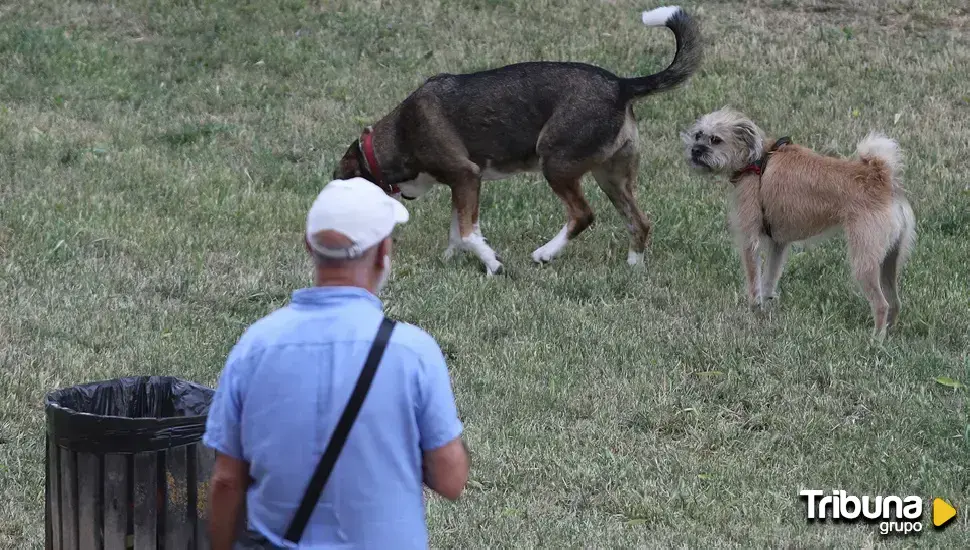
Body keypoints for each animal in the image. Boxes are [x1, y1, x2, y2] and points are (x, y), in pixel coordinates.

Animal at [336, 6, 700, 276]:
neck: (399, 133)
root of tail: (621, 85)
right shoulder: (463, 184)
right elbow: (459, 230)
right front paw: (453, 259)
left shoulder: (466, 175)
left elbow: (467, 232)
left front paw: (492, 263)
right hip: (612, 176)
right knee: (640, 222)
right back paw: (633, 268)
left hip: (556, 163)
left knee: (583, 215)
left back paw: (545, 254)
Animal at [680, 107, 916, 340]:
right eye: (698, 135)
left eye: (716, 140)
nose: (695, 150)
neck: (755, 159)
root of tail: (881, 178)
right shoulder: (778, 244)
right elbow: (769, 280)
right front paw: (764, 310)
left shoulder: (749, 239)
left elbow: (754, 281)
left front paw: (754, 310)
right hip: (888, 261)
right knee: (894, 301)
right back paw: (887, 334)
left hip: (863, 262)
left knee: (881, 304)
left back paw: (875, 340)